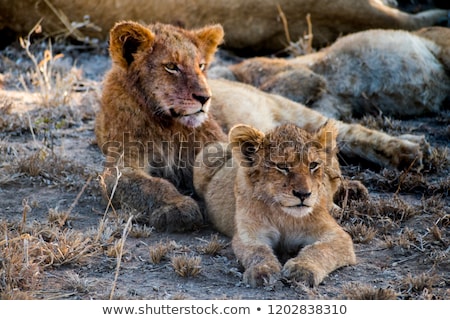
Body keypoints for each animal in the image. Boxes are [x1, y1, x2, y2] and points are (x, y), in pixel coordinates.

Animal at [193, 122, 356, 288]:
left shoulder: (338, 235)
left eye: (313, 165)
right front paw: (262, 270)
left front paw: (302, 268)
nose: (303, 194)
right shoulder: (249, 233)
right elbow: (258, 251)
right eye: (282, 166)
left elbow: (320, 249)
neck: (284, 215)